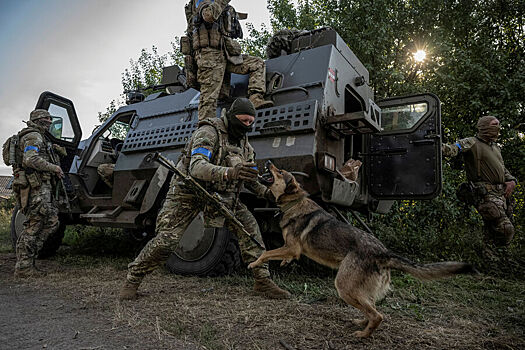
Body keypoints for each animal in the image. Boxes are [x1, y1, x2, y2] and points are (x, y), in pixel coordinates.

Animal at [248, 163, 476, 338]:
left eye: (279, 172)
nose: (267, 162)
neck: (293, 203)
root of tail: (384, 253)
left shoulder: (292, 247)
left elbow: (265, 253)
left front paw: (254, 263)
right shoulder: (291, 249)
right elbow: (278, 255)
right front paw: (283, 262)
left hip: (344, 286)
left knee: (378, 315)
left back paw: (363, 334)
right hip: (358, 290)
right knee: (372, 308)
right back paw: (361, 323)